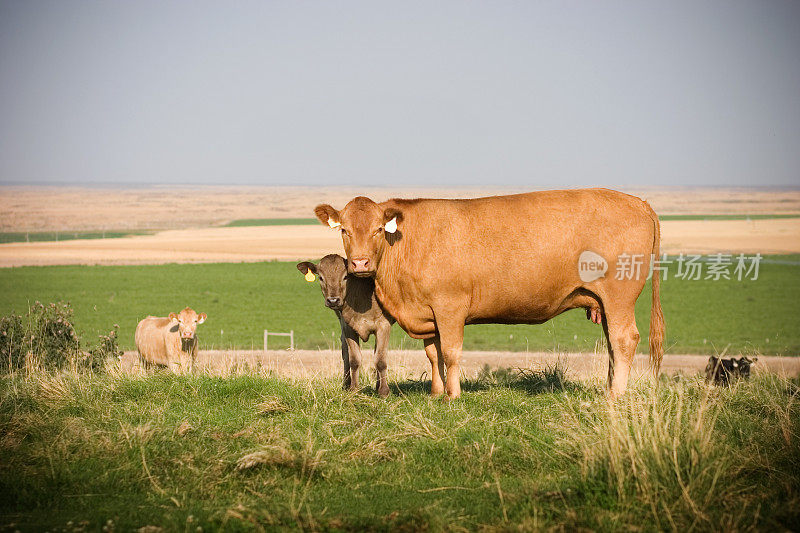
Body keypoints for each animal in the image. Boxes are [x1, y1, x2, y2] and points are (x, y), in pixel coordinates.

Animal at [296, 254, 396, 394]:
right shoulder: (348, 327)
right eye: (320, 277)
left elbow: (380, 360)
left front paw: (383, 391)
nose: (333, 300)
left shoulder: (383, 326)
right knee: (345, 353)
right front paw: (354, 389)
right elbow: (354, 359)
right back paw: (346, 384)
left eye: (345, 277)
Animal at [316, 189, 664, 396]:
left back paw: (615, 396)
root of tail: (638, 201)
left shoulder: (450, 306)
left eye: (378, 229)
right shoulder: (427, 313)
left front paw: (453, 396)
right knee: (612, 343)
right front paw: (436, 394)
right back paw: (609, 389)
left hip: (619, 296)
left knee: (624, 340)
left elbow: (451, 352)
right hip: (604, 302)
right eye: (345, 230)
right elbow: (433, 353)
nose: (360, 263)